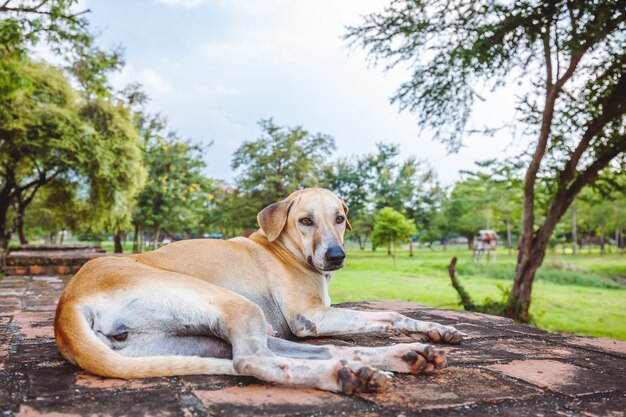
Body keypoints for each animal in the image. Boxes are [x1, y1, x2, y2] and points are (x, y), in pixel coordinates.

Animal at [54, 188, 464, 394]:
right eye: (305, 221)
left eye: (340, 218)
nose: (336, 257)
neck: (285, 250)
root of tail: (66, 309)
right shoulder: (310, 318)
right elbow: (381, 315)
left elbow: (388, 315)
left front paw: (436, 328)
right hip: (237, 305)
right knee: (252, 361)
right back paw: (345, 376)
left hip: (205, 336)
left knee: (303, 353)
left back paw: (399, 357)